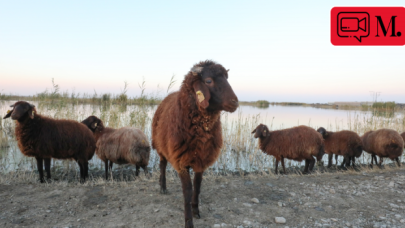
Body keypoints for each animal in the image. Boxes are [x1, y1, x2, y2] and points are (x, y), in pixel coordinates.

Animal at [152, 59, 237, 227]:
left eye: (227, 78)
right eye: (208, 81)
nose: (235, 102)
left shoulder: (201, 160)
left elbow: (197, 187)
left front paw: (196, 210)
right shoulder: (181, 162)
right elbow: (187, 191)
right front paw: (188, 221)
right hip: (161, 146)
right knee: (162, 165)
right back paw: (162, 186)